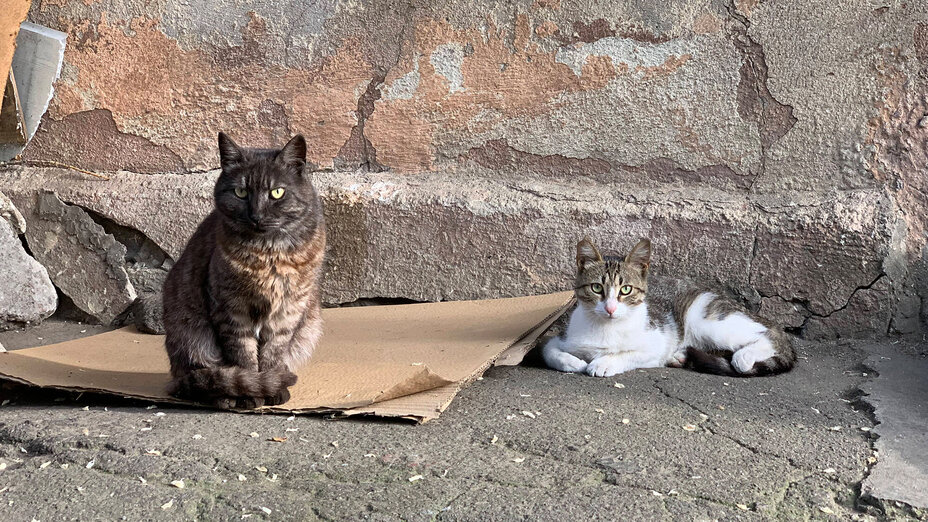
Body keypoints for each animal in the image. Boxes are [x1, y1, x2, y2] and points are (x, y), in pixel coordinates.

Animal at [163, 131, 326, 406]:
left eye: (277, 192)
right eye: (240, 192)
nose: (256, 215)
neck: (268, 255)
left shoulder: (289, 309)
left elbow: (272, 353)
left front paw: (273, 387)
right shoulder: (231, 309)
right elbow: (243, 356)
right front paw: (252, 392)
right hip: (191, 337)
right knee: (199, 381)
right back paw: (225, 396)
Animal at [544, 237, 796, 378]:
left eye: (626, 289)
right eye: (597, 288)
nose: (611, 309)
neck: (605, 328)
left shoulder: (657, 342)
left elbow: (628, 353)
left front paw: (604, 362)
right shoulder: (559, 336)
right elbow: (549, 351)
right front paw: (574, 362)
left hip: (707, 321)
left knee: (768, 335)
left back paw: (744, 356)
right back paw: (681, 356)